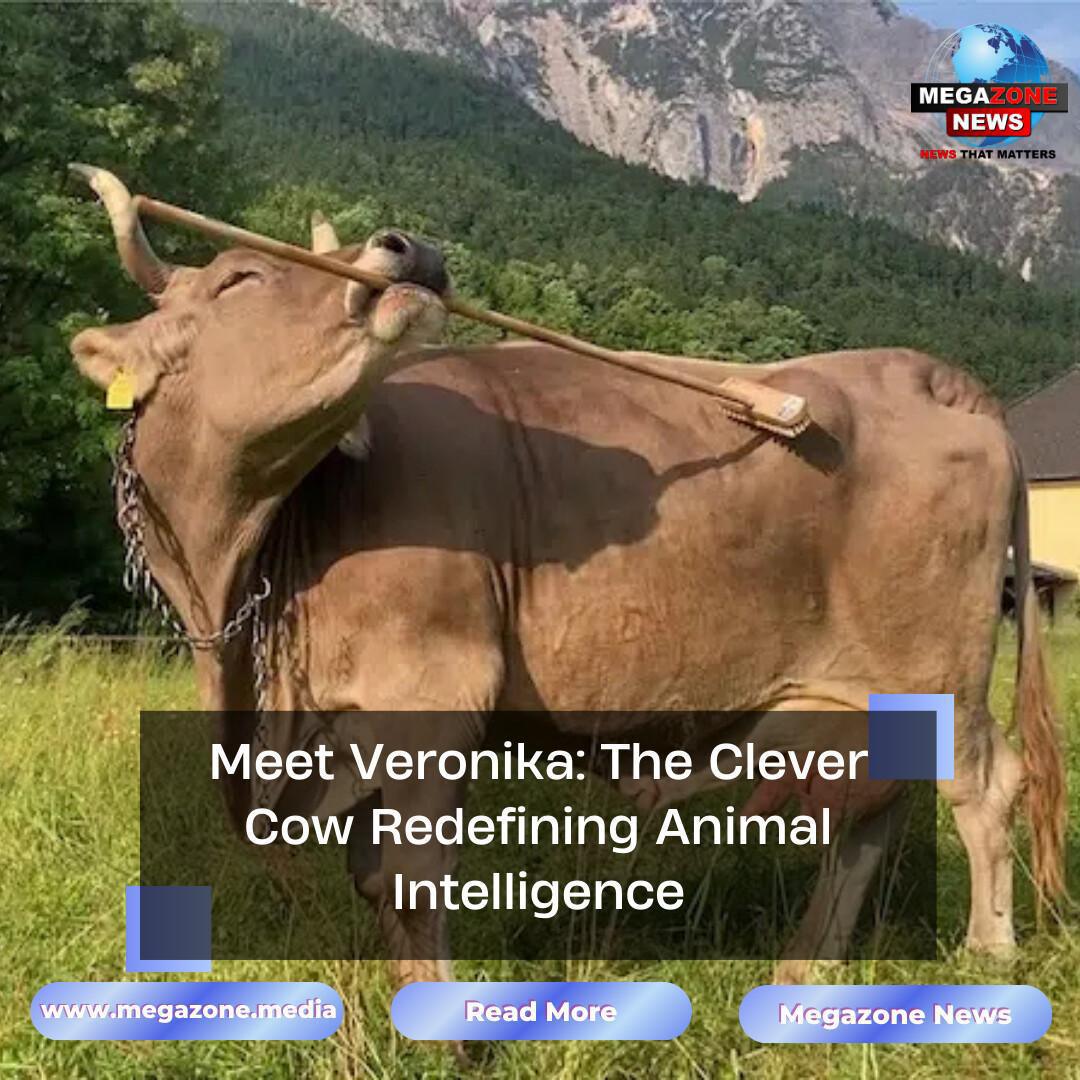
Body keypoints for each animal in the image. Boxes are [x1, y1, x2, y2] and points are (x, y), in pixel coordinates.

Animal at [69, 165, 1064, 990]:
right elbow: (372, 877)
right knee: (870, 816)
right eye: (237, 280)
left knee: (983, 788)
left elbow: (412, 874)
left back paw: (986, 955)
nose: (410, 248)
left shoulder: (435, 690)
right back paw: (804, 965)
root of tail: (921, 372)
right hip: (862, 699)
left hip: (936, 671)